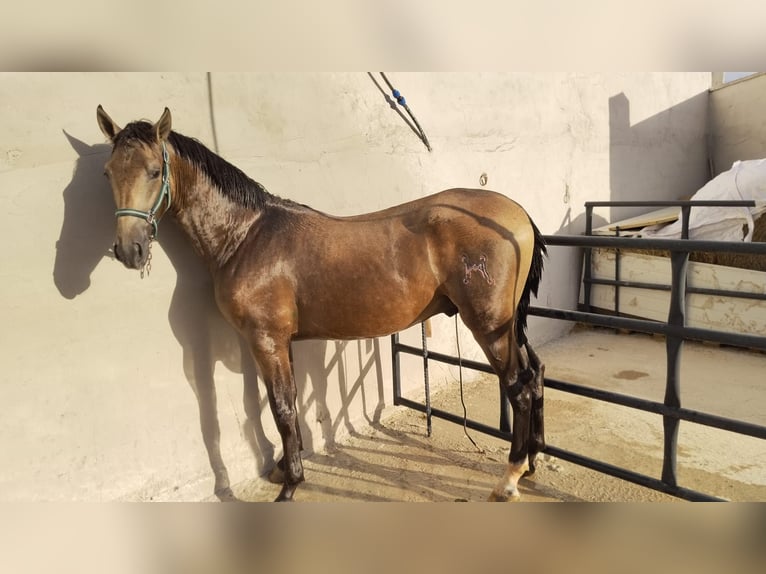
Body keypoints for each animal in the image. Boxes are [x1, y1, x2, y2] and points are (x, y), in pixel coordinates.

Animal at [96, 105, 547, 502]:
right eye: (109, 172)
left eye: (154, 172)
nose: (129, 250)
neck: (246, 235)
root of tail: (517, 213)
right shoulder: (279, 342)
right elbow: (287, 402)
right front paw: (284, 467)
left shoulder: (265, 339)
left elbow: (279, 407)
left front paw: (291, 484)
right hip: (510, 325)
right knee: (536, 373)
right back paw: (531, 463)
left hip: (490, 326)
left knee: (519, 387)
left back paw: (508, 479)